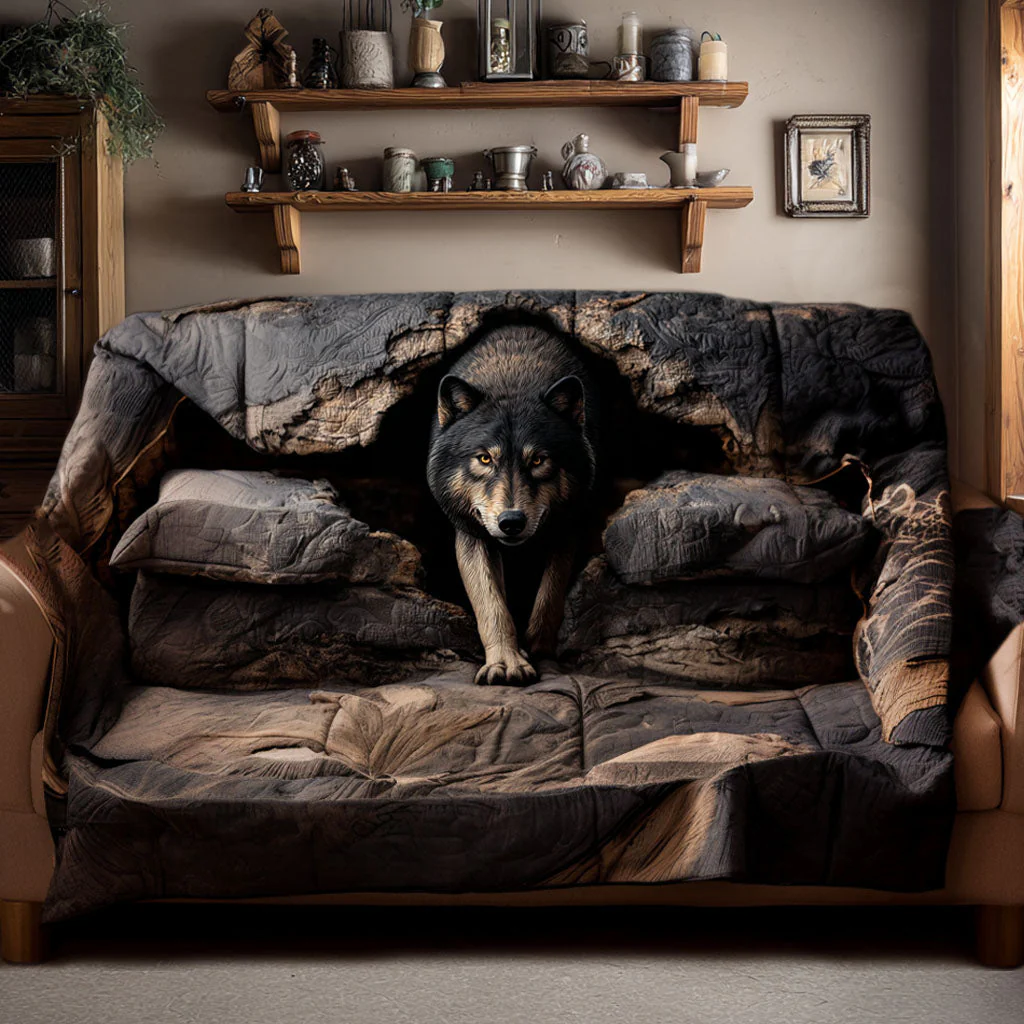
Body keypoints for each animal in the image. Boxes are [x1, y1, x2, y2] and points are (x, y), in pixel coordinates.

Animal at [427, 325, 597, 684]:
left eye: (538, 460)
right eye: (484, 458)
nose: (511, 522)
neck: (513, 376)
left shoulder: (567, 528)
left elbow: (549, 596)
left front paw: (539, 652)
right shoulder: (472, 534)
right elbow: (492, 606)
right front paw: (505, 663)